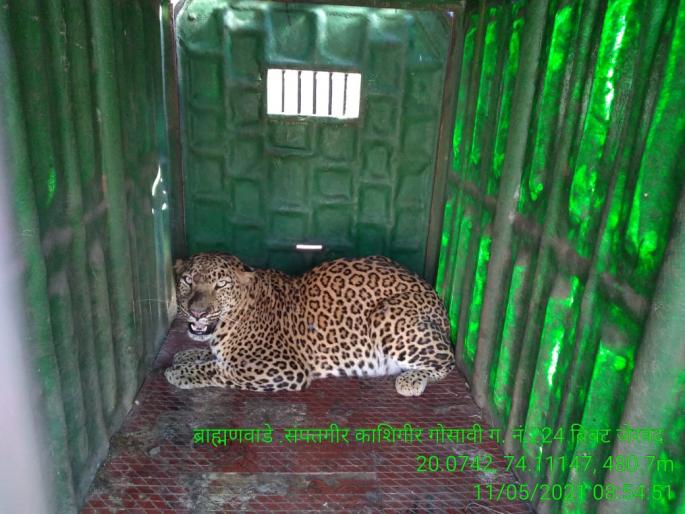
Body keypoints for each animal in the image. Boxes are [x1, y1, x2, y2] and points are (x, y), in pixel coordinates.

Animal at [164, 253, 455, 396]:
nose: (197, 312)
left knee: (448, 360)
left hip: (388, 315)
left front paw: (180, 373)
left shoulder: (284, 368)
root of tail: (438, 301)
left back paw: (411, 380)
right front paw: (186, 356)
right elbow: (211, 355)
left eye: (221, 284)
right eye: (188, 280)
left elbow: (221, 369)